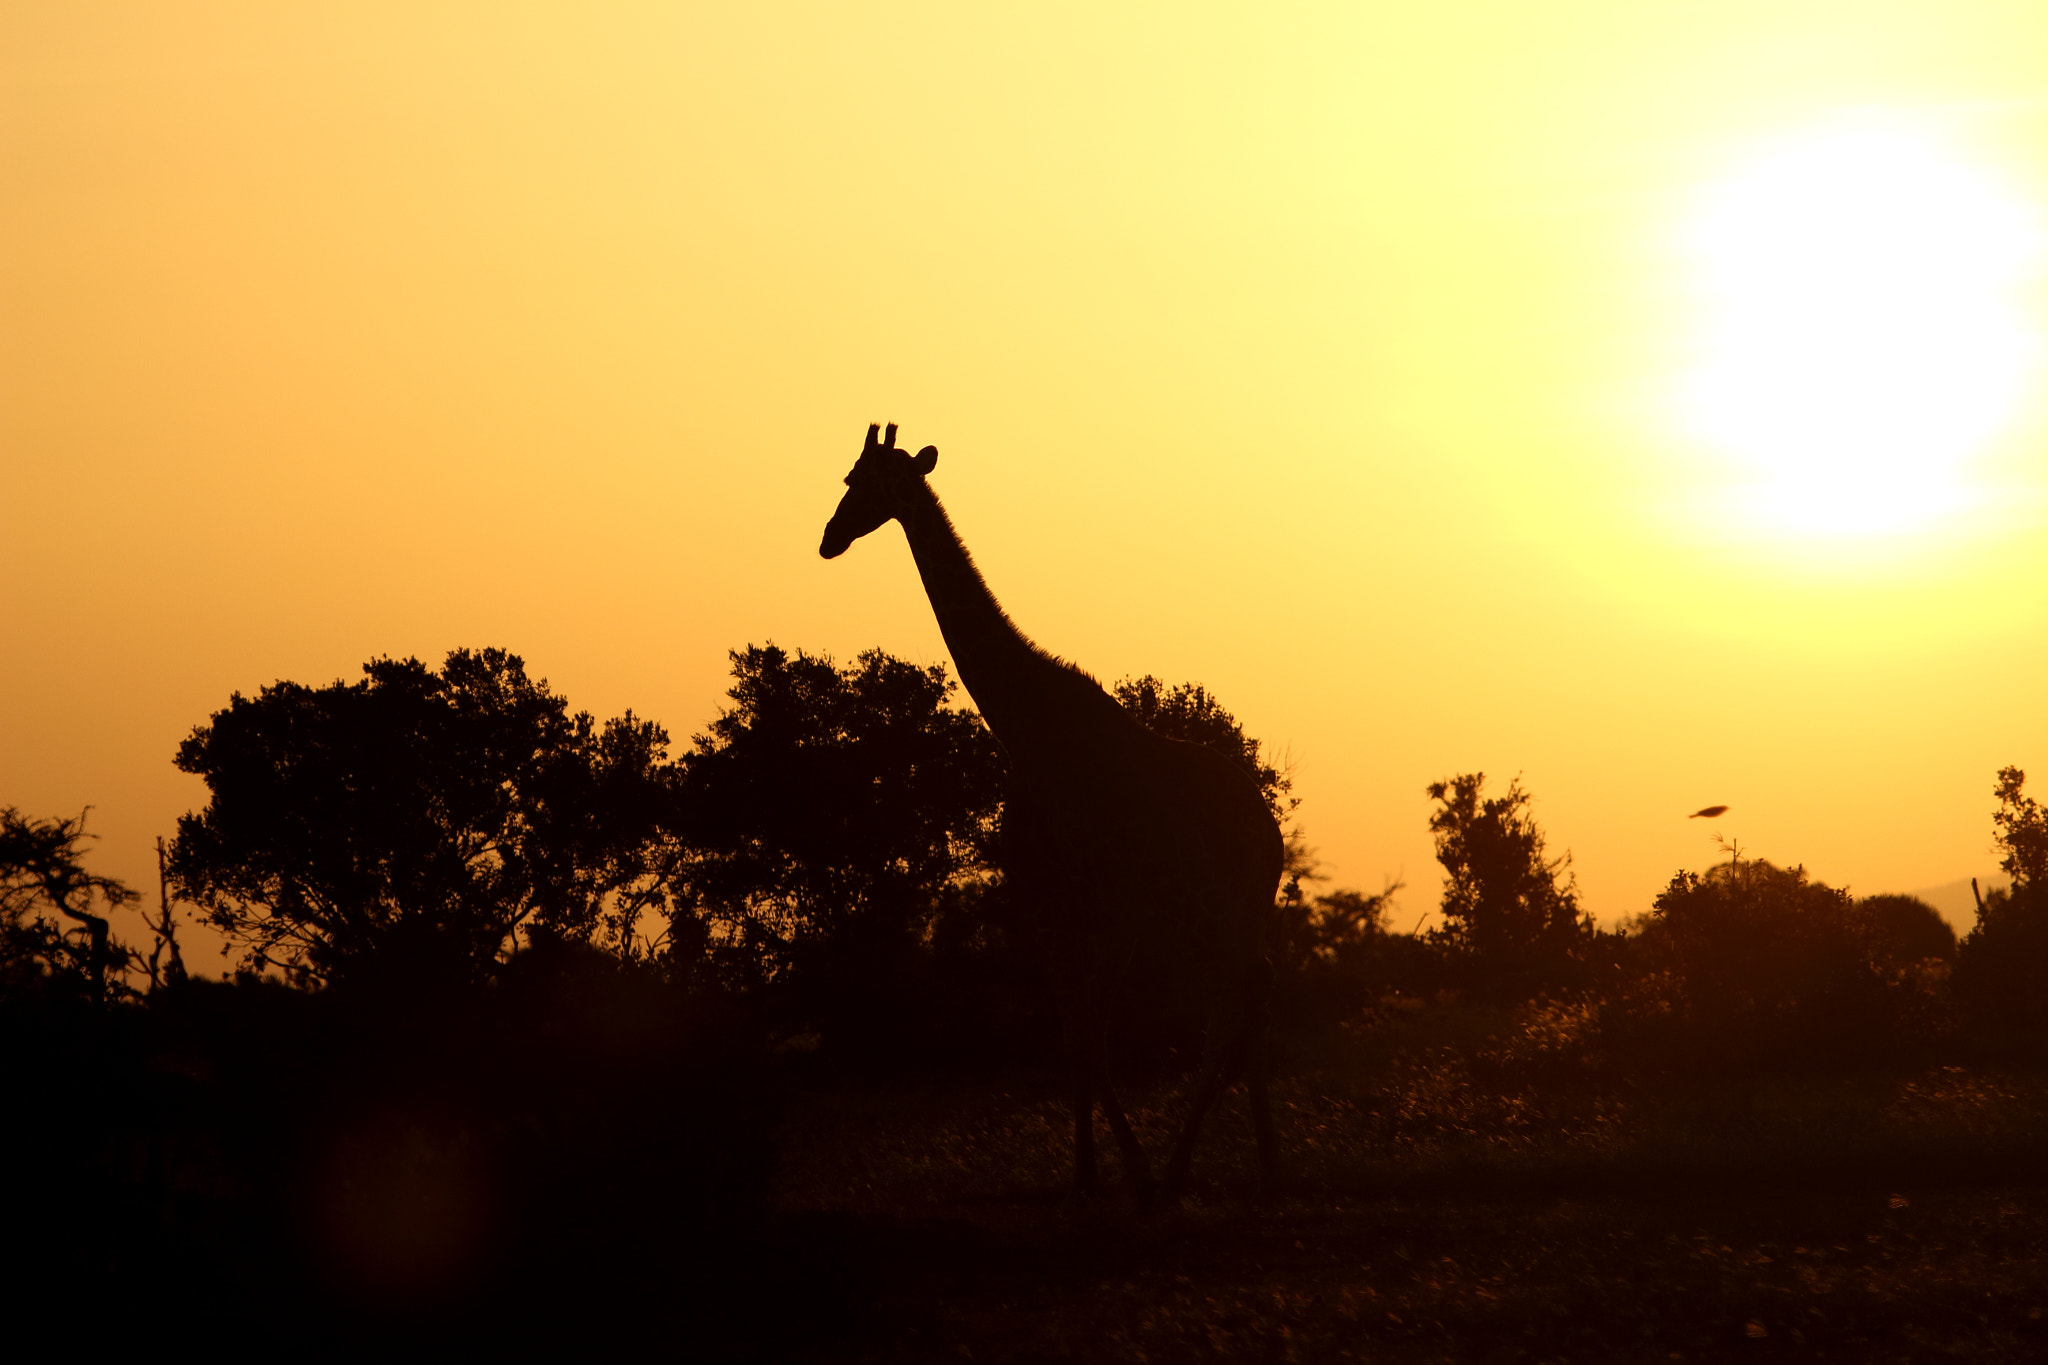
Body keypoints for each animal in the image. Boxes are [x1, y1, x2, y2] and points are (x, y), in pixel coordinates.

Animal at [820, 423, 1286, 1203]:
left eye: (862, 481)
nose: (828, 538)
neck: (1025, 722)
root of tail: (1271, 831)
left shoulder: (1077, 905)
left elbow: (1087, 1038)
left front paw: (1117, 1170)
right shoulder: (1071, 911)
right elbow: (1079, 1037)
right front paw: (1095, 1170)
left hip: (1215, 908)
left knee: (1232, 1014)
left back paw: (1183, 1170)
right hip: (1224, 913)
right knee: (1245, 1006)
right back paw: (1261, 1164)